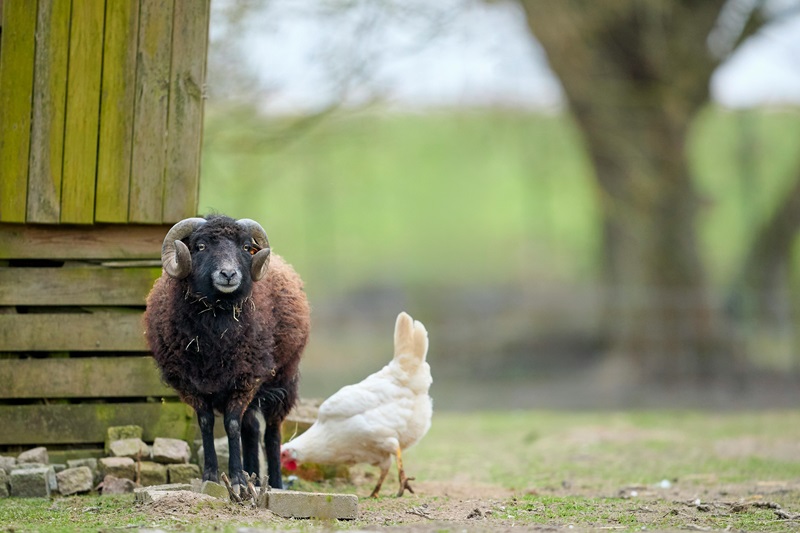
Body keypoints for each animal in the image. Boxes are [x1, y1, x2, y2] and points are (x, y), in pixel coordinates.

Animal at [144, 215, 310, 492]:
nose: (229, 274)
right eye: (200, 246)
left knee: (272, 431)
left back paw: (275, 482)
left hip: (284, 378)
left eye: (246, 246)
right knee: (252, 427)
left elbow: (231, 424)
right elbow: (207, 423)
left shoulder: (246, 378)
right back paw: (254, 473)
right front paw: (211, 475)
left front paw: (237, 479)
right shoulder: (190, 383)